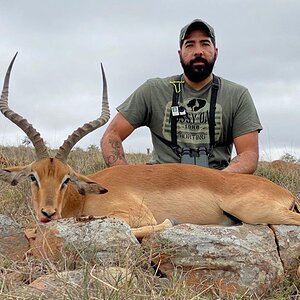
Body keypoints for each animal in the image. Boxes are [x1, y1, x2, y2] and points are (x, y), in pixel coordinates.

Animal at [0, 54, 300, 240]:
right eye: (33, 176)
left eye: (66, 179)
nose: (48, 213)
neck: (82, 197)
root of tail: (284, 192)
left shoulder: (134, 214)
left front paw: (169, 223)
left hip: (255, 211)